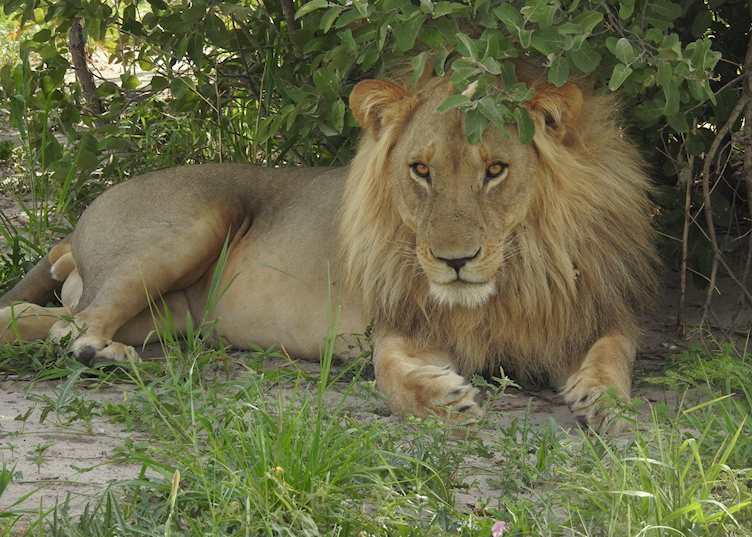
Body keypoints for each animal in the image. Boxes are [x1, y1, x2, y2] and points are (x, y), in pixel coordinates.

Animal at [0, 70, 657, 432]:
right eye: (420, 170)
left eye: (495, 170)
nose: (454, 261)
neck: (514, 275)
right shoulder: (400, 324)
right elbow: (391, 374)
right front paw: (443, 400)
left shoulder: (594, 313)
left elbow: (614, 352)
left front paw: (604, 401)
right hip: (182, 229)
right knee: (73, 327)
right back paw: (107, 358)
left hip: (164, 313)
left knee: (41, 318)